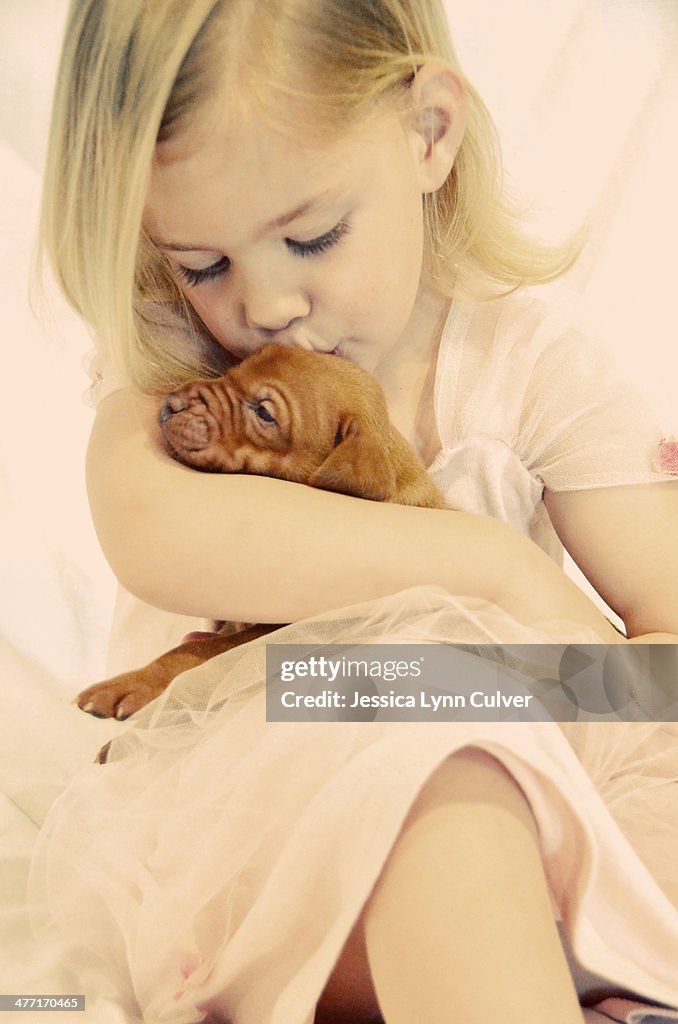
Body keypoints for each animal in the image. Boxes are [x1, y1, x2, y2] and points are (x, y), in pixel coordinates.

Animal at [76, 348, 446, 733]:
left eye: (265, 414)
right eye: (234, 370)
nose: (170, 403)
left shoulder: (280, 634)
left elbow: (198, 655)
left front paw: (128, 686)